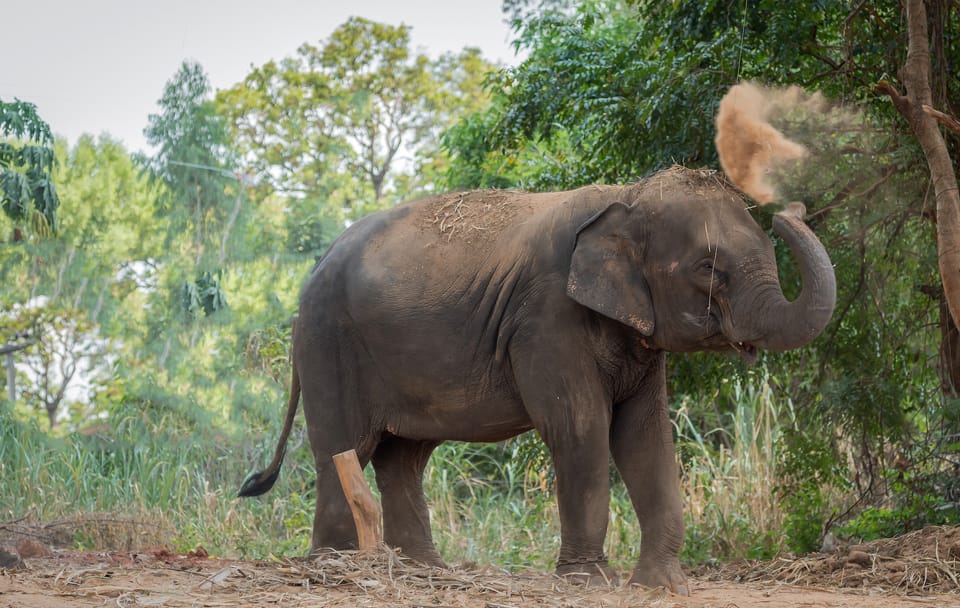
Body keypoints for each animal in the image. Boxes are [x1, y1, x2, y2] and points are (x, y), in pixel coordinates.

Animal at [239, 166, 836, 594]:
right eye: (708, 267)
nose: (793, 208)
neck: (627, 195)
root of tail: (314, 270)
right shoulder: (547, 319)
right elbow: (581, 429)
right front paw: (591, 582)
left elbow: (644, 437)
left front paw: (662, 587)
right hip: (329, 344)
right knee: (344, 448)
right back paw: (334, 569)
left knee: (403, 457)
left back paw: (423, 571)